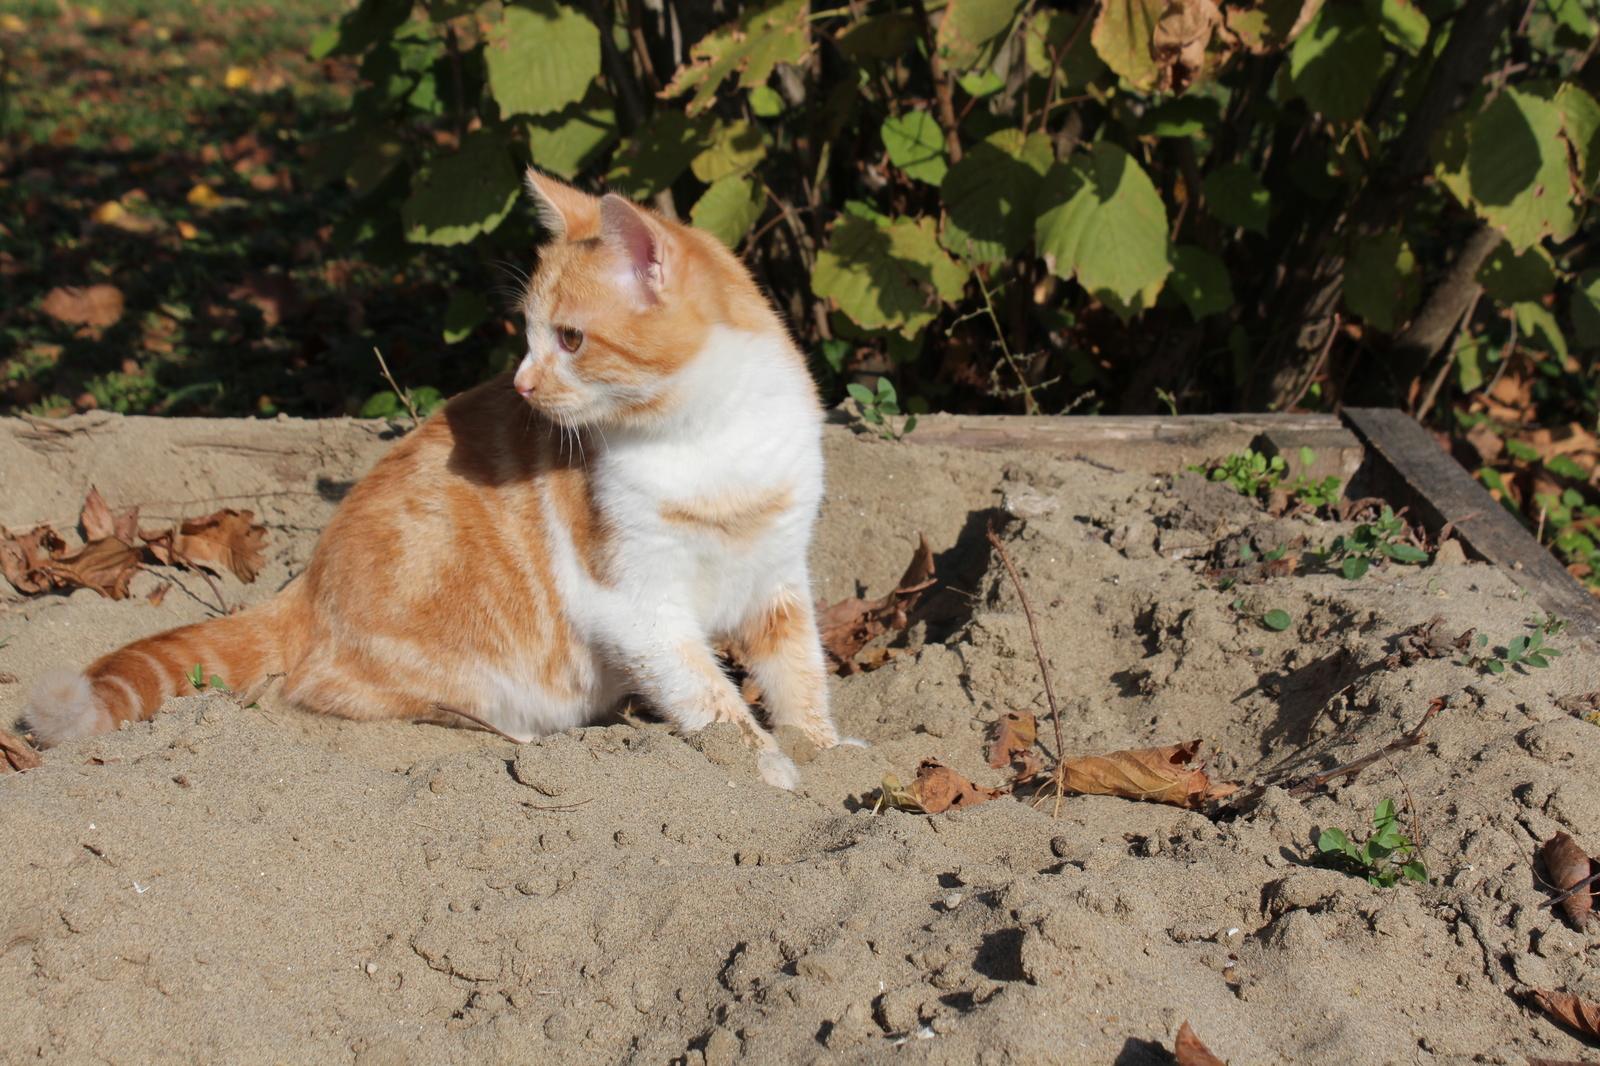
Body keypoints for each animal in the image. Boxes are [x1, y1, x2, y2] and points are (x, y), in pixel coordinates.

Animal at [25, 174, 844, 784]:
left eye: (570, 338)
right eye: (528, 335)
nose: (521, 385)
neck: (709, 439)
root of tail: (304, 585)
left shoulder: (778, 580)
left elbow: (800, 673)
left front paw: (825, 752)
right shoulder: (637, 606)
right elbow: (710, 697)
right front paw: (766, 766)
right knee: (311, 695)